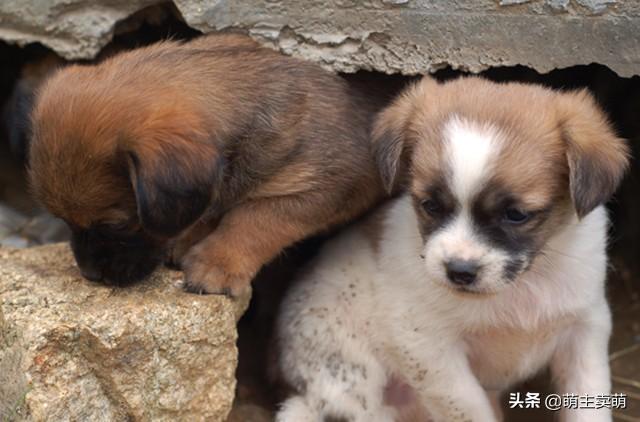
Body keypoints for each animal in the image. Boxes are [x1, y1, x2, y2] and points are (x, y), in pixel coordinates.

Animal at [30, 34, 384, 296]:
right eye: (62, 220)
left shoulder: (319, 186)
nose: (89, 275)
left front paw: (216, 263)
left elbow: (254, 219)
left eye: (116, 225)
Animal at [276, 76, 632, 422]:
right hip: (354, 386)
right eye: (430, 205)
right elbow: (468, 407)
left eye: (516, 214)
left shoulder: (585, 327)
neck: (522, 287)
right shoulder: (428, 347)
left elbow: (588, 398)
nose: (459, 272)